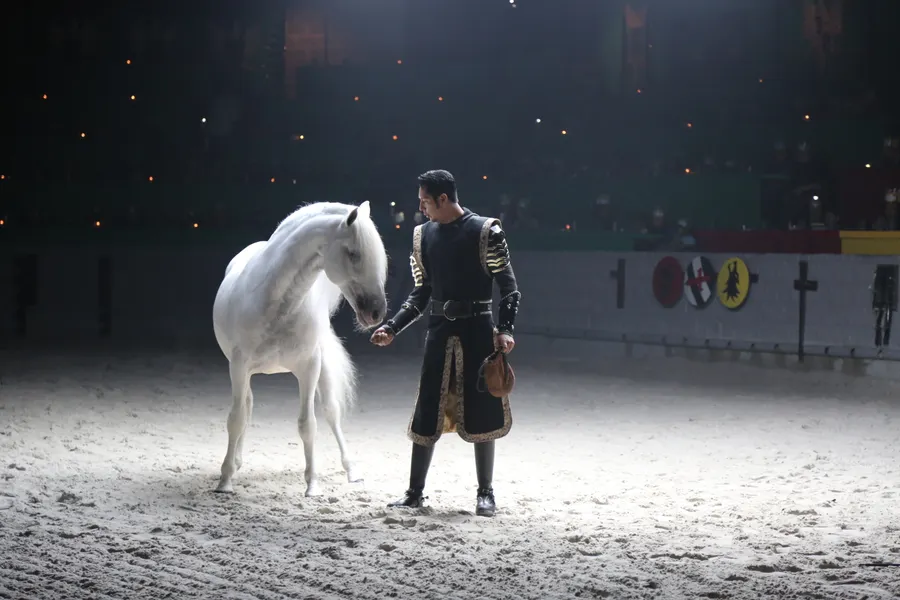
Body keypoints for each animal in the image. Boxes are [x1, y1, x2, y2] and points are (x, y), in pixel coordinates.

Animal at [211, 200, 388, 497]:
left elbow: (308, 424)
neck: (277, 305)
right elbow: (236, 418)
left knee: (331, 412)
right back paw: (235, 463)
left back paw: (352, 471)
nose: (377, 313)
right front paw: (225, 481)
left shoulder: (309, 367)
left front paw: (312, 485)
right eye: (354, 254)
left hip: (322, 370)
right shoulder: (238, 366)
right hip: (245, 375)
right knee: (246, 407)